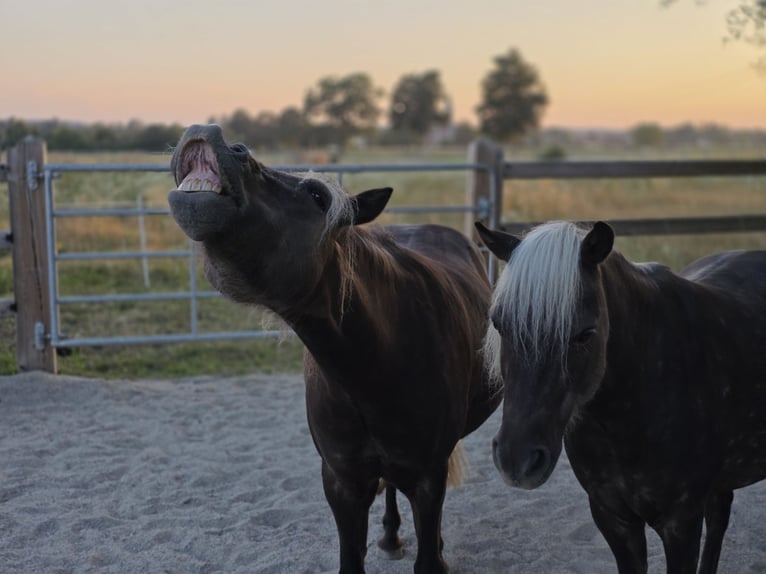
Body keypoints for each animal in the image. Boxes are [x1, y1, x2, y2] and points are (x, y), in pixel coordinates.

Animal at [167, 124, 501, 574]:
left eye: (316, 196)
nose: (211, 133)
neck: (375, 363)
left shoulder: (428, 478)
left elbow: (429, 555)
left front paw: (437, 551)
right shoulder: (342, 482)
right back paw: (391, 536)